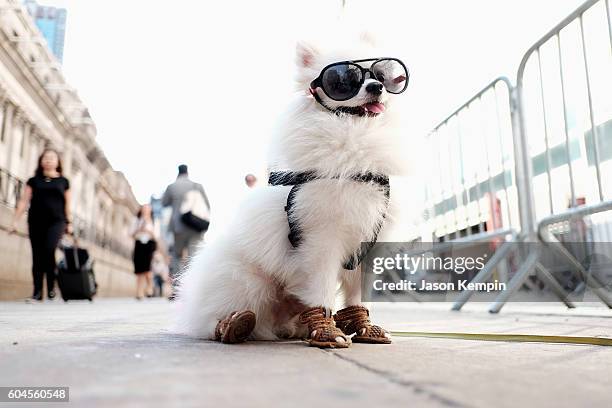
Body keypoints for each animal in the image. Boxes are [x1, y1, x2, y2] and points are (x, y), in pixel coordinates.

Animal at [178, 33, 412, 350]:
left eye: (381, 75)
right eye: (342, 80)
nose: (376, 87)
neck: (356, 133)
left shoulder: (366, 244)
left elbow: (356, 294)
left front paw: (363, 326)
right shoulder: (322, 240)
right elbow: (322, 288)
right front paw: (327, 331)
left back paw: (296, 327)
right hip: (248, 281)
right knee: (216, 317)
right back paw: (232, 325)